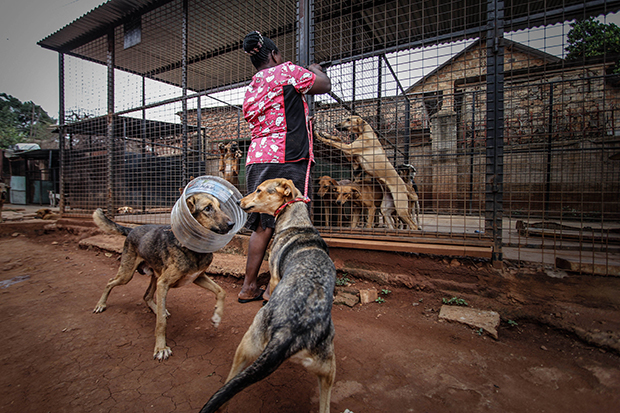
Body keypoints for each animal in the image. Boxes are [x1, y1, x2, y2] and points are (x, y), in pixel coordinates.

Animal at [92, 192, 235, 358]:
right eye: (208, 208)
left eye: (220, 206)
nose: (232, 224)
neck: (195, 247)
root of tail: (132, 229)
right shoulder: (164, 283)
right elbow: (161, 323)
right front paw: (160, 348)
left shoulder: (198, 277)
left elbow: (221, 291)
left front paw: (217, 317)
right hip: (127, 275)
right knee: (110, 282)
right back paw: (101, 305)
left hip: (155, 277)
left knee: (147, 296)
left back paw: (158, 308)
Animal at [200, 179, 336, 412]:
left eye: (259, 190)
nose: (239, 201)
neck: (296, 222)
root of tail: (290, 331)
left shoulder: (273, 278)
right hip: (328, 370)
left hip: (246, 345)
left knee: (228, 385)